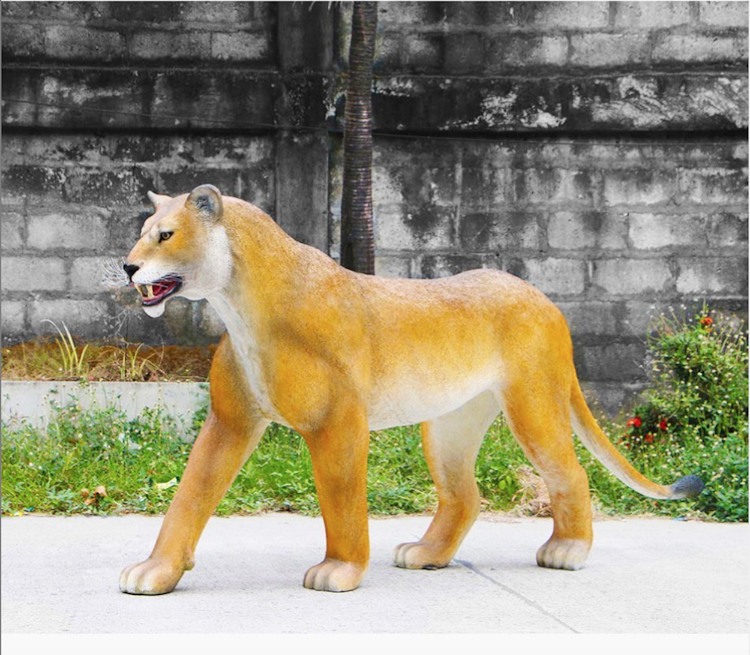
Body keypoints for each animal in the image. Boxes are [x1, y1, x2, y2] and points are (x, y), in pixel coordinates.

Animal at [118, 185, 703, 594]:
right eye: (144, 230)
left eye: (165, 235)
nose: (127, 266)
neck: (237, 306)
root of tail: (543, 297)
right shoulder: (230, 419)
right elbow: (191, 494)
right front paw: (156, 570)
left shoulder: (338, 421)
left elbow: (342, 498)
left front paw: (339, 570)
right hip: (449, 424)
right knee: (465, 495)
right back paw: (427, 554)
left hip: (533, 403)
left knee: (571, 473)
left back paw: (568, 550)